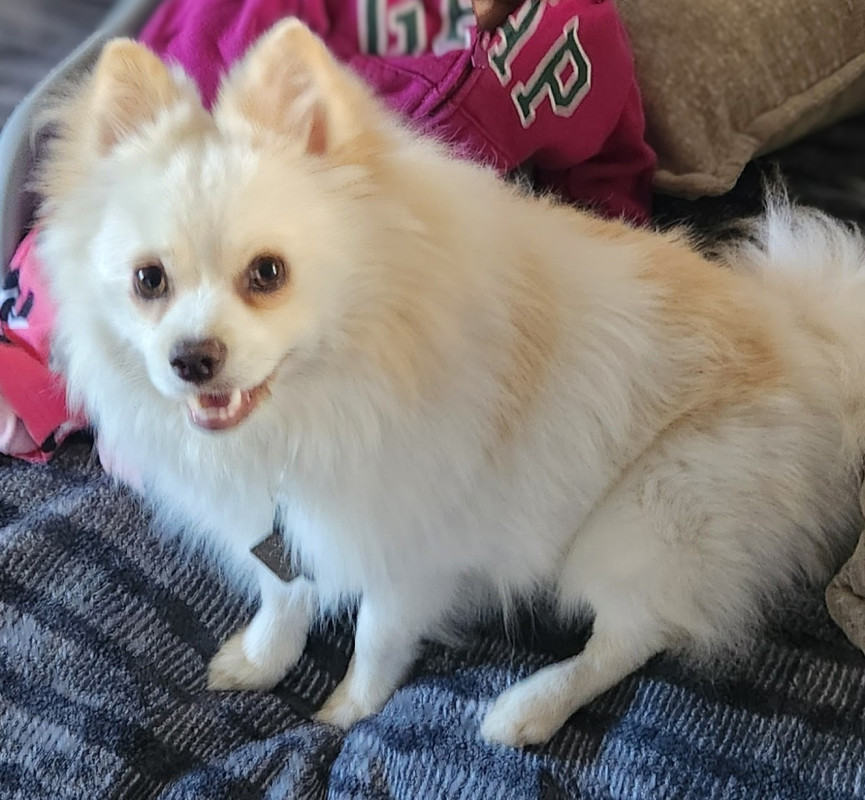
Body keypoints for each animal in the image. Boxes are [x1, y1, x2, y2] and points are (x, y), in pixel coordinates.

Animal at [36, 19, 865, 747]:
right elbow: (282, 592)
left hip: (646, 519)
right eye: (148, 280)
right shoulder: (284, 522)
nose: (191, 357)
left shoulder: (412, 548)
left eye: (267, 273)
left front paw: (345, 712)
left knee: (629, 637)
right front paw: (262, 660)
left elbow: (375, 636)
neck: (314, 406)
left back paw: (526, 709)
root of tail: (808, 340)